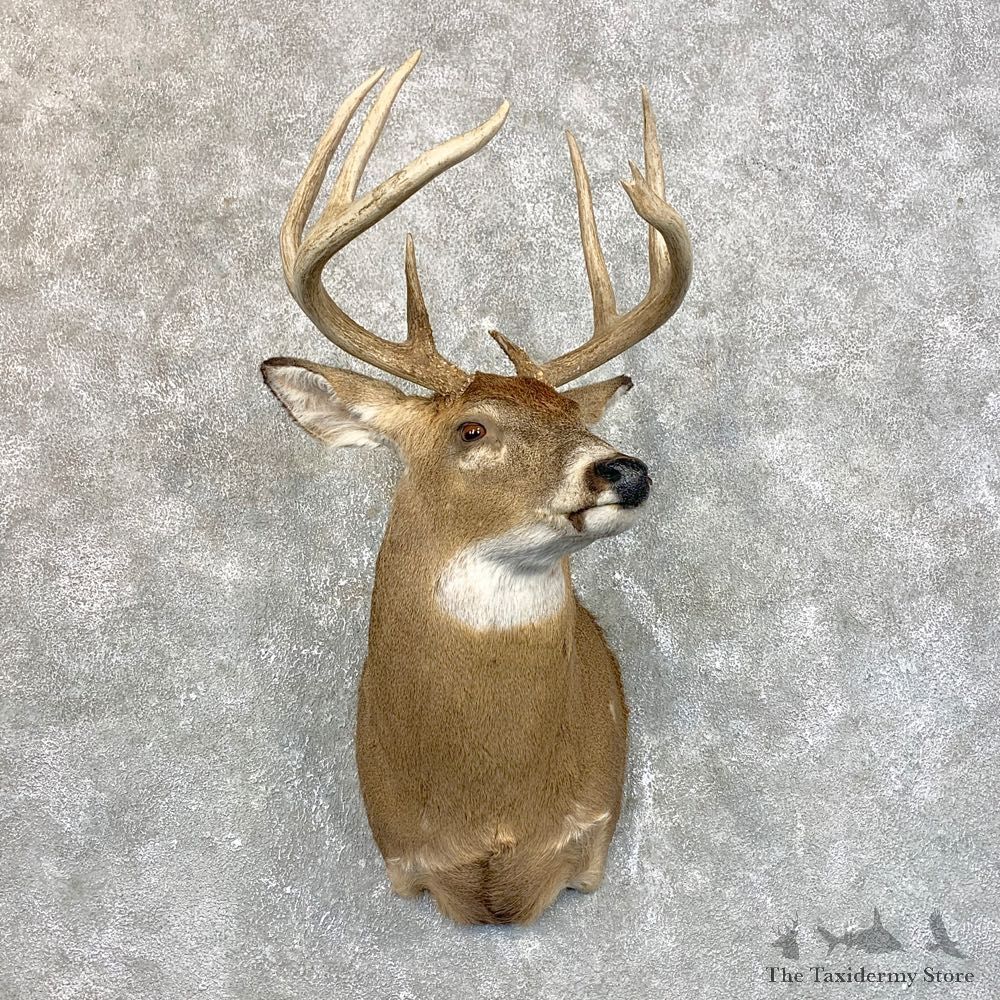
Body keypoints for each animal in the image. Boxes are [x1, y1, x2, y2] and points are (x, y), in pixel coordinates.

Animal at [261, 51, 691, 925]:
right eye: (471, 430)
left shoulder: (590, 844)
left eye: (574, 413)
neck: (492, 815)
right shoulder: (404, 860)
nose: (625, 469)